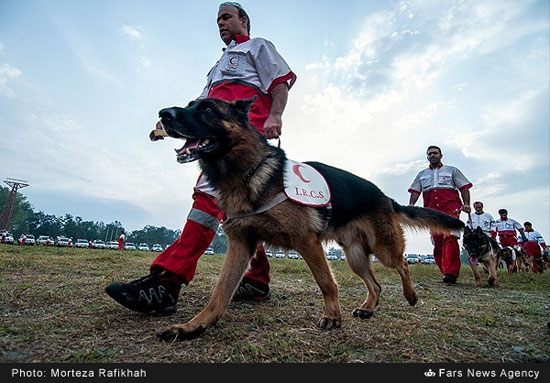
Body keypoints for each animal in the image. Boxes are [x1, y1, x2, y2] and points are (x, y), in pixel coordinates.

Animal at [150, 97, 466, 340]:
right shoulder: (241, 243)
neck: (249, 170)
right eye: (190, 105)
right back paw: (368, 307)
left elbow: (326, 282)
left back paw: (410, 295)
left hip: (383, 248)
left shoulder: (306, 241)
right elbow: (220, 291)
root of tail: (385, 196)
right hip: (355, 256)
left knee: (403, 264)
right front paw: (193, 326)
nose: (163, 114)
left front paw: (332, 316)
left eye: (207, 109)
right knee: (375, 283)